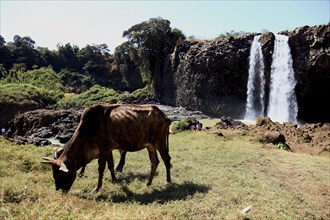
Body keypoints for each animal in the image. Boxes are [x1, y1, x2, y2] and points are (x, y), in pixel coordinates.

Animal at [41, 104, 171, 192]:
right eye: (54, 175)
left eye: (61, 175)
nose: (60, 190)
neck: (89, 128)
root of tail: (165, 116)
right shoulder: (108, 149)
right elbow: (111, 165)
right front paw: (114, 180)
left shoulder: (103, 150)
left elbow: (101, 168)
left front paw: (97, 188)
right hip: (150, 146)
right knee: (155, 162)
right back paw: (148, 183)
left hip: (160, 142)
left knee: (166, 160)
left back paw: (168, 181)